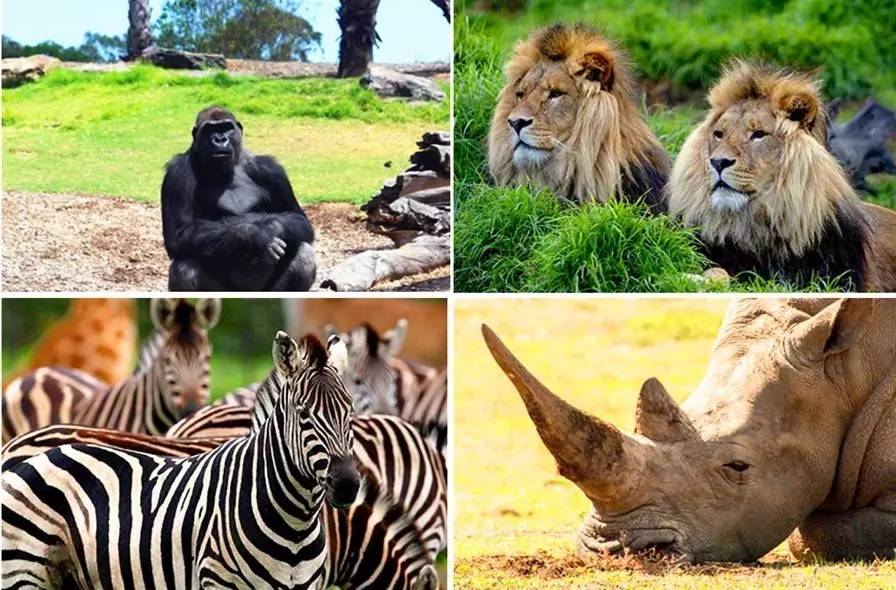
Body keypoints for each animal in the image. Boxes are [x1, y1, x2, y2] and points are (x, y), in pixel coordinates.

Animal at [0, 332, 378, 590]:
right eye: (303, 415)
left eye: (350, 413)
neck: (295, 524)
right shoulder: (217, 580)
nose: (347, 485)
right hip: (22, 570)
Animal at [163, 107, 316, 292]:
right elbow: (178, 235)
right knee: (184, 267)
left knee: (304, 253)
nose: (220, 140)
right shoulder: (177, 172)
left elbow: (299, 219)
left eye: (226, 127)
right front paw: (254, 235)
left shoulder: (271, 169)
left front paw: (271, 228)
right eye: (210, 129)